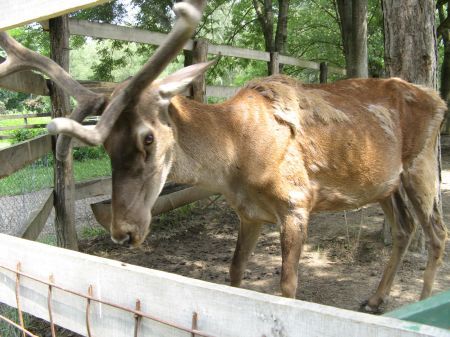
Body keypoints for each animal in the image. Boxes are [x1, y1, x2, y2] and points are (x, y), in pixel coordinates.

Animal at [0, 0, 446, 312]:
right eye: (105, 145)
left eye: (148, 139)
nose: (123, 231)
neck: (239, 157)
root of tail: (439, 99)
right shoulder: (249, 213)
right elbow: (234, 274)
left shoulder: (297, 203)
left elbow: (287, 288)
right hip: (385, 183)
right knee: (405, 229)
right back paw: (375, 299)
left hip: (423, 163)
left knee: (437, 233)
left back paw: (423, 301)